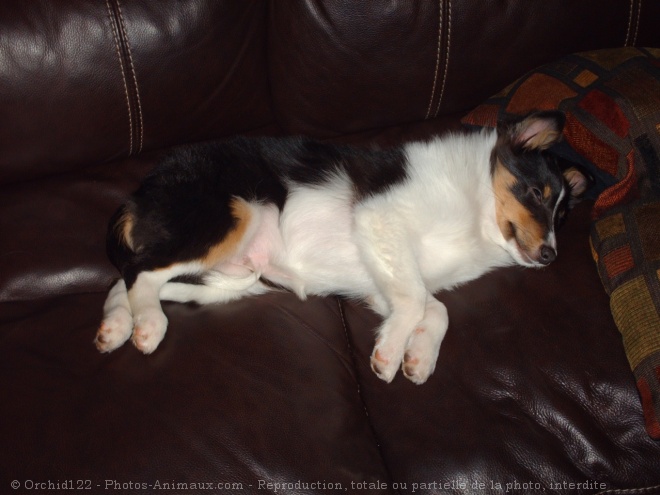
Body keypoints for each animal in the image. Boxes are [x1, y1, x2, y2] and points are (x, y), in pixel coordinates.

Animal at [95, 111, 584, 384]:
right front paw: (389, 356)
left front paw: (419, 358)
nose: (550, 256)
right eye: (536, 193)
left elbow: (435, 307)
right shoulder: (380, 218)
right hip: (234, 217)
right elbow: (416, 301)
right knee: (139, 272)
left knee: (127, 280)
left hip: (225, 280)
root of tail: (138, 195)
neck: (477, 211)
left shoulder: (384, 278)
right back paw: (147, 326)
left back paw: (116, 327)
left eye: (562, 216)